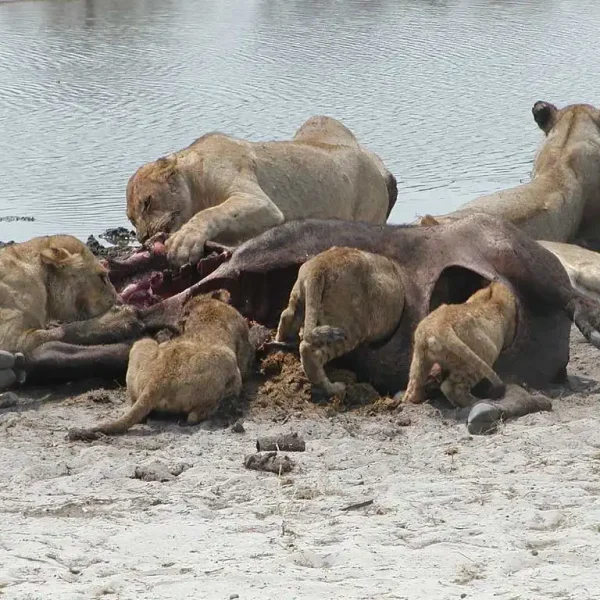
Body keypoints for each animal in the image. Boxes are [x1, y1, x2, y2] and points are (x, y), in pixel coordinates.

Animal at [126, 116, 398, 266]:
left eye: (147, 202)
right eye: (131, 220)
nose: (142, 237)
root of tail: (377, 164)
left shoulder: (259, 202)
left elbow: (212, 213)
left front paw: (184, 241)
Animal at [274, 246, 406, 396]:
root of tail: (320, 265)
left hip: (299, 294)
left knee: (287, 315)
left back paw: (282, 342)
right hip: (352, 327)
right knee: (310, 351)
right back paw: (333, 388)